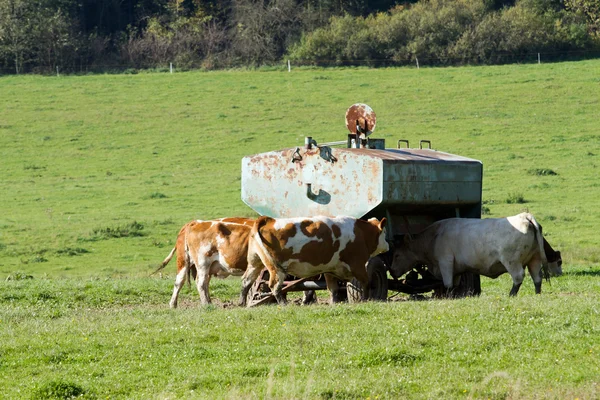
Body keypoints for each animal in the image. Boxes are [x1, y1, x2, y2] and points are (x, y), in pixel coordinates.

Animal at [240, 216, 390, 306]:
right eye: (384, 233)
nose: (388, 244)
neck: (361, 233)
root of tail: (268, 220)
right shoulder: (358, 265)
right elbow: (366, 283)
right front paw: (366, 299)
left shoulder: (330, 269)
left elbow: (333, 288)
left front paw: (333, 303)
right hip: (276, 269)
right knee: (274, 285)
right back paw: (283, 304)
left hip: (255, 263)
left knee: (246, 281)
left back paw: (242, 303)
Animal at [390, 214, 556, 296]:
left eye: (397, 255)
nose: (391, 271)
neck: (433, 237)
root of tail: (524, 216)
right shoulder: (456, 270)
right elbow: (454, 285)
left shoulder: (445, 262)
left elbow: (447, 284)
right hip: (534, 259)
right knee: (537, 278)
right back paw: (537, 294)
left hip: (512, 261)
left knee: (518, 277)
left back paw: (511, 295)